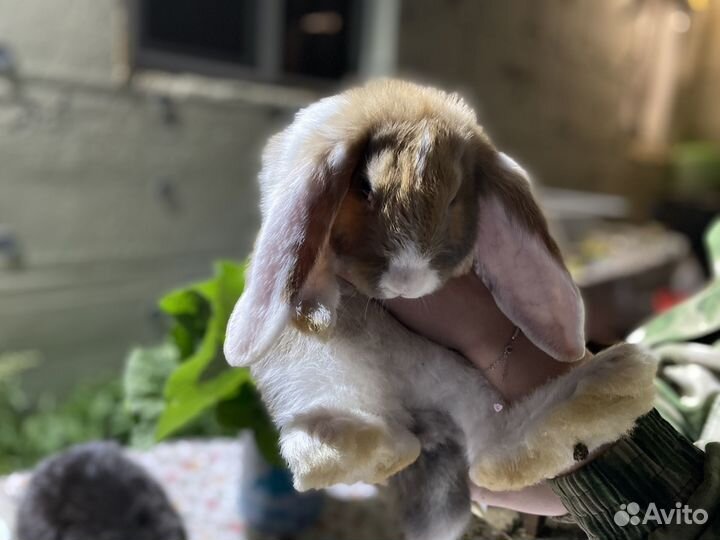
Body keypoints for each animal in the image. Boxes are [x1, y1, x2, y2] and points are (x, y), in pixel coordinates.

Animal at [224, 80, 657, 540]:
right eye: (365, 188)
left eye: (453, 199)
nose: (407, 282)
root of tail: (419, 423)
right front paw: (316, 307)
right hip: (309, 377)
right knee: (318, 451)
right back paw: (361, 445)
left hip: (461, 384)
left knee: (493, 452)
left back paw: (610, 382)